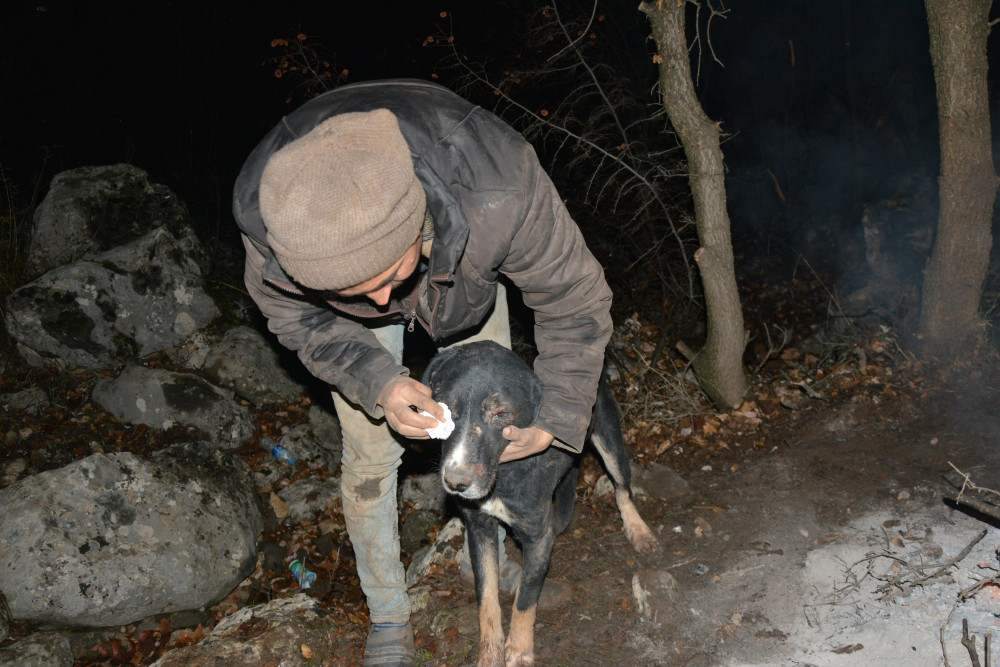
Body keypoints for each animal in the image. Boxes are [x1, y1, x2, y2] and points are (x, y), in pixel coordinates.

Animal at [420, 342, 656, 664]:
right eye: (443, 411)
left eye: (501, 414)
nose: (456, 483)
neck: (503, 473)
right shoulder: (479, 528)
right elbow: (487, 597)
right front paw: (490, 652)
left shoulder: (539, 537)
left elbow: (526, 598)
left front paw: (519, 649)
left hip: (609, 439)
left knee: (623, 488)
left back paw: (638, 530)